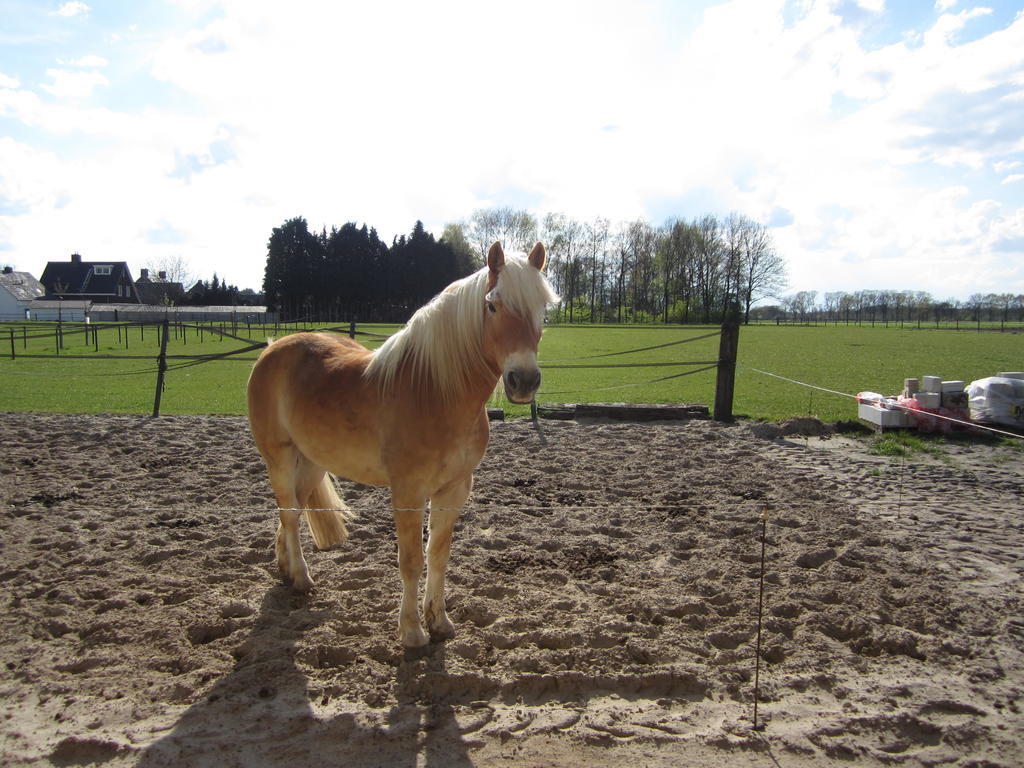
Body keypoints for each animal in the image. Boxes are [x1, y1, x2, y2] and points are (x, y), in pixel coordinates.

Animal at [245, 241, 561, 651]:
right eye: (492, 305)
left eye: (543, 309)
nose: (523, 381)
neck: (434, 391)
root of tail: (272, 348)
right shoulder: (408, 491)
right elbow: (411, 560)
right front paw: (411, 632)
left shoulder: (454, 489)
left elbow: (437, 556)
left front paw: (439, 622)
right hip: (279, 457)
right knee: (289, 512)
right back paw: (300, 578)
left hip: (313, 460)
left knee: (294, 511)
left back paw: (285, 570)